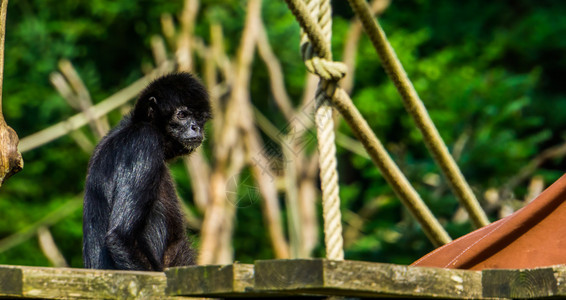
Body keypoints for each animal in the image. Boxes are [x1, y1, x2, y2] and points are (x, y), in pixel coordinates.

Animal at [82, 72, 211, 272]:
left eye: (199, 118)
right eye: (182, 115)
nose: (195, 127)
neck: (135, 124)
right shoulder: (144, 142)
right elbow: (119, 237)